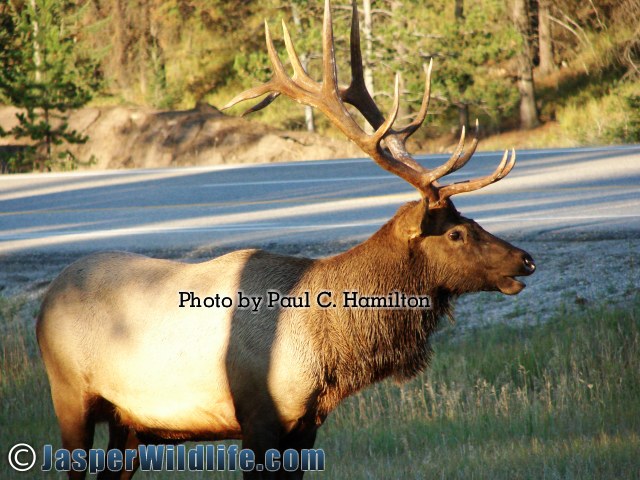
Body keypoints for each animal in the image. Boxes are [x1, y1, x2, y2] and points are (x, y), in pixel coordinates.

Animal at [36, 1, 536, 478]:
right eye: (456, 232)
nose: (526, 259)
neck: (326, 352)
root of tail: (43, 306)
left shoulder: (306, 425)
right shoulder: (257, 418)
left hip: (129, 422)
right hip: (70, 395)